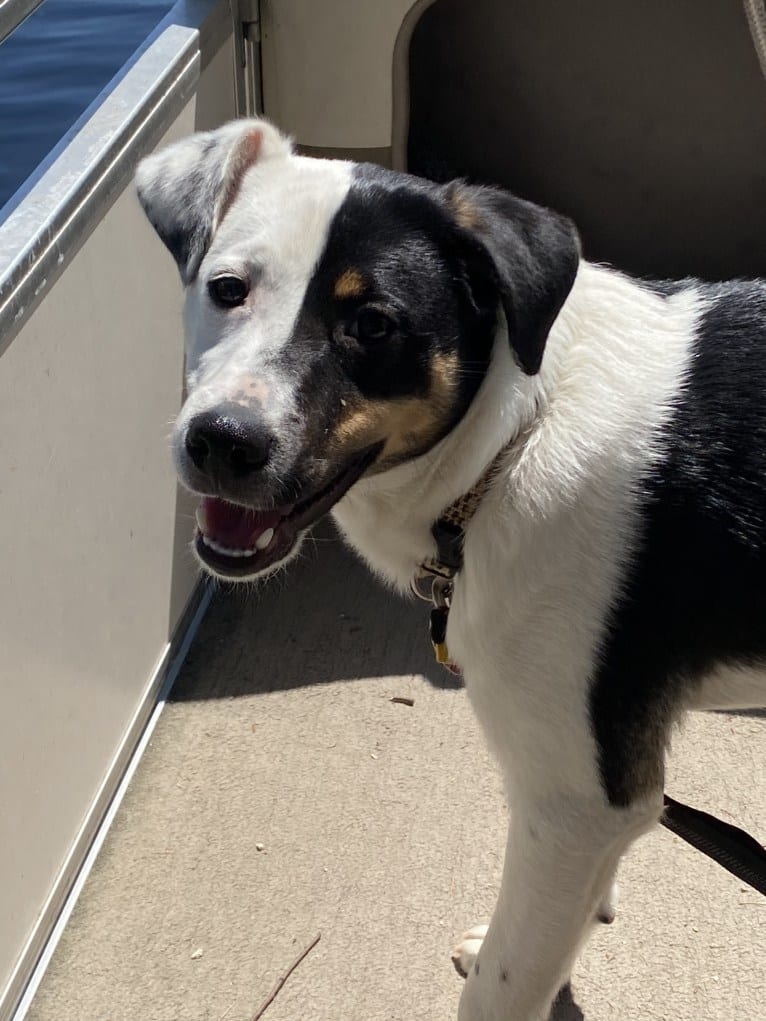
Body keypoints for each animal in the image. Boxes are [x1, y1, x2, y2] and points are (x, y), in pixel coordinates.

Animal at [137, 121, 766, 1021]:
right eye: (228, 288)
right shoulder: (591, 801)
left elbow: (505, 981)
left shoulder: (575, 799)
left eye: (372, 324)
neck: (511, 439)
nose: (222, 441)